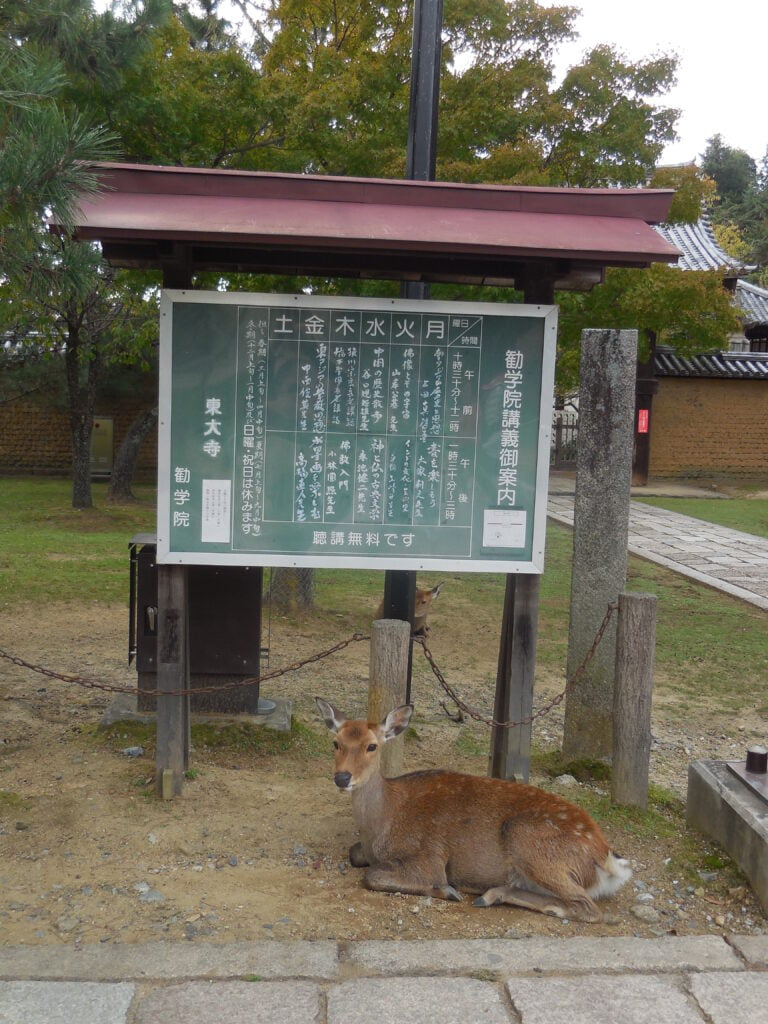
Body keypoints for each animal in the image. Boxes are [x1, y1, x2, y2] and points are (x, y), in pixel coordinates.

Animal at [315, 700, 634, 925]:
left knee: (589, 908)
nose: (342, 778)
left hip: (528, 839)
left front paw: (446, 890)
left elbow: (373, 876)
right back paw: (491, 895)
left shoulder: (429, 857)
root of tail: (606, 857)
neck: (382, 824)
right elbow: (355, 854)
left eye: (372, 746)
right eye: (336, 742)